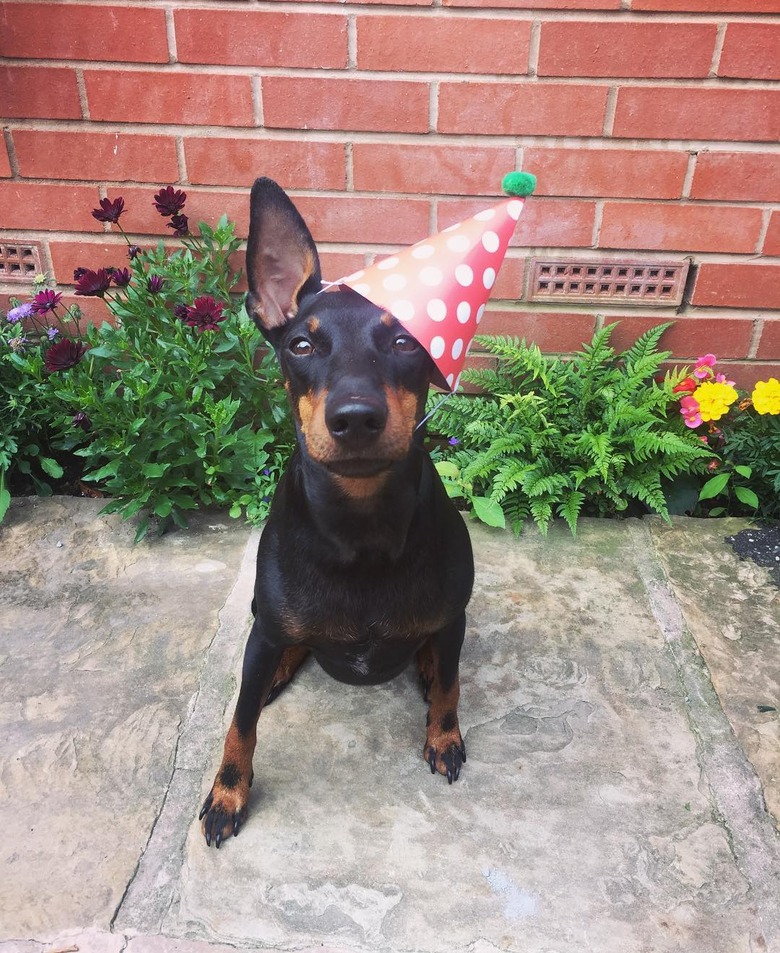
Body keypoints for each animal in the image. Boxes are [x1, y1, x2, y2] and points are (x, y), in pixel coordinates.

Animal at [198, 178, 472, 848]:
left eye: (405, 340)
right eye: (301, 343)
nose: (354, 419)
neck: (360, 527)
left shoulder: (453, 616)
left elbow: (453, 683)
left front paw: (443, 735)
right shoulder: (267, 630)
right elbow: (239, 721)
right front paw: (228, 792)